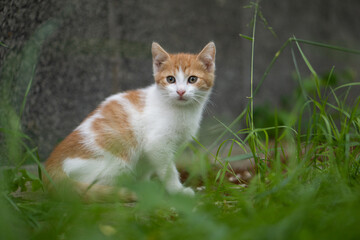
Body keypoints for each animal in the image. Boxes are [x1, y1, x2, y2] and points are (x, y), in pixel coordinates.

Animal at [43, 41, 215, 201]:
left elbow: (147, 167)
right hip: (117, 164)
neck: (181, 110)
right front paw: (178, 191)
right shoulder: (157, 144)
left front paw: (146, 186)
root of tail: (52, 163)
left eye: (192, 79)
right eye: (170, 79)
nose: (180, 91)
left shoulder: (150, 152)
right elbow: (168, 170)